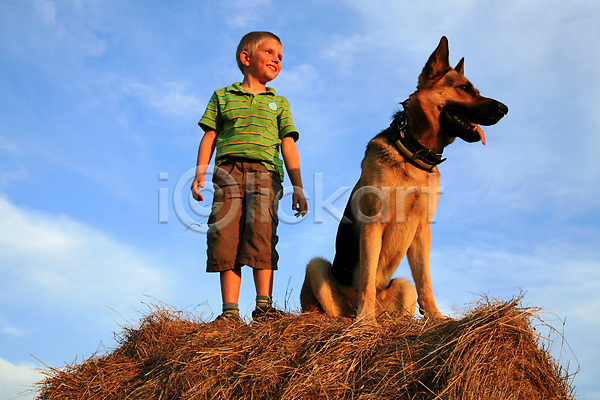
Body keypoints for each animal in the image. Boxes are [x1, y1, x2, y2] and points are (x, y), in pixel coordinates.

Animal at [298, 37, 506, 322]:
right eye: (464, 88)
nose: (505, 109)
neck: (413, 153)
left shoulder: (422, 230)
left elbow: (425, 280)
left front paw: (435, 317)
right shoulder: (373, 223)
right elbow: (367, 276)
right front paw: (366, 321)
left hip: (403, 286)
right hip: (316, 267)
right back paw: (351, 318)